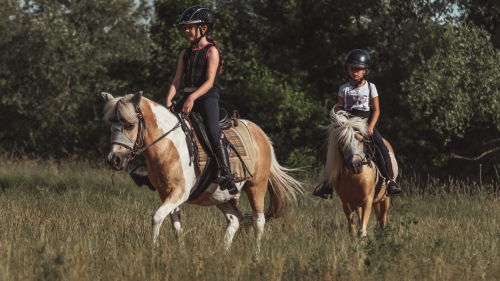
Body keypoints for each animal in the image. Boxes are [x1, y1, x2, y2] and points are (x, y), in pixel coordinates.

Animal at [102, 91, 300, 247]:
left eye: (130, 125)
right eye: (110, 125)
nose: (114, 159)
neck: (168, 145)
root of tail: (262, 135)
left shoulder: (180, 192)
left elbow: (157, 217)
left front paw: (154, 250)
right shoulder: (167, 194)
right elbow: (176, 226)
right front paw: (179, 253)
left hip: (256, 186)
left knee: (259, 222)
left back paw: (255, 257)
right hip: (219, 195)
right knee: (235, 218)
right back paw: (223, 253)